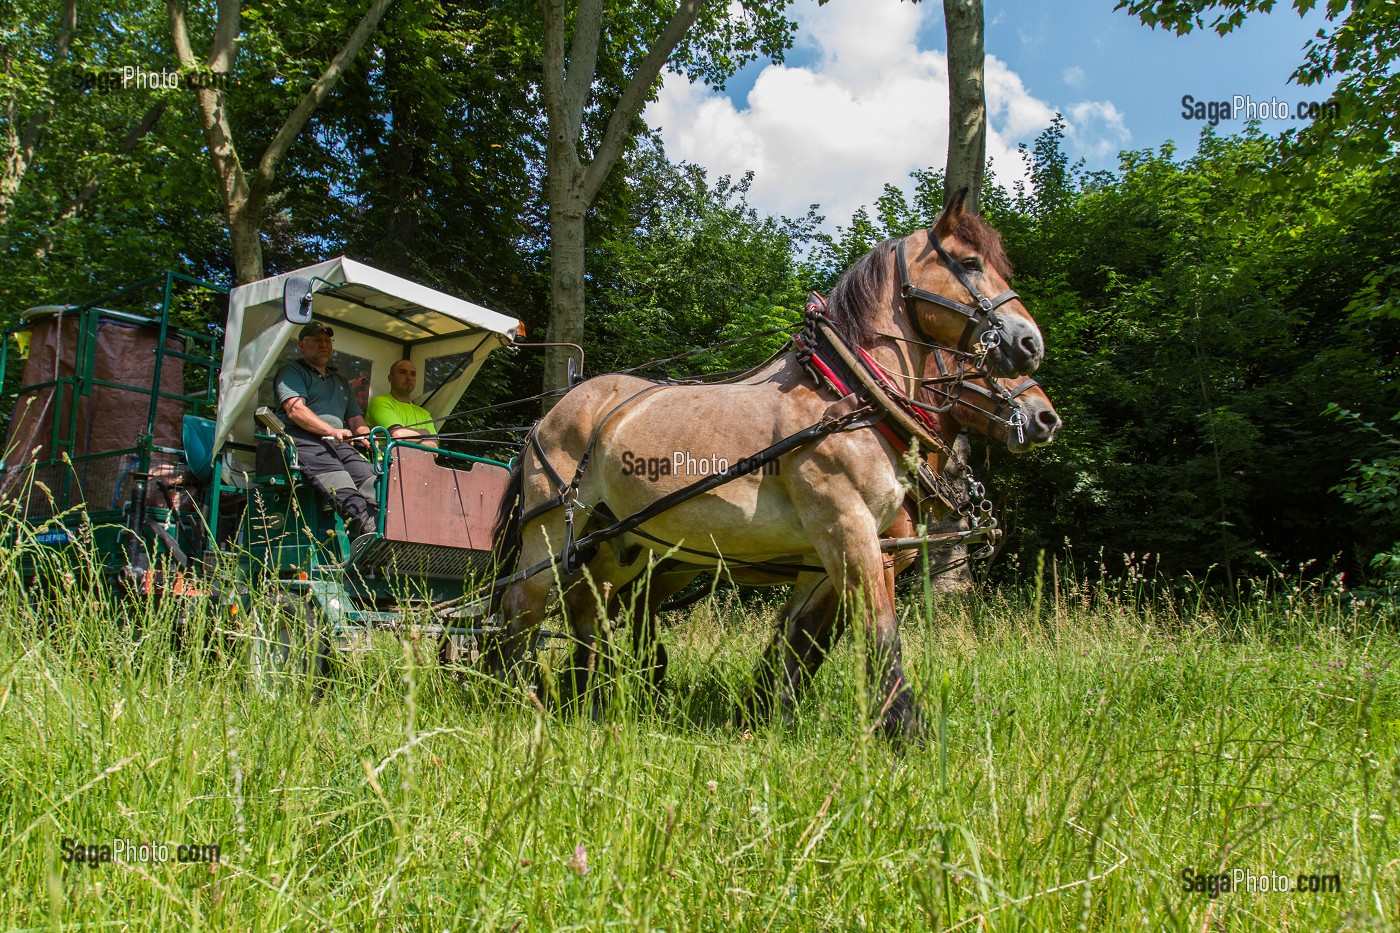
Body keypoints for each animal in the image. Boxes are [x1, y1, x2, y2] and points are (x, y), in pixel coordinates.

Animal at [491, 190, 1043, 742]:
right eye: (970, 263)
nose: (1031, 346)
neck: (849, 396)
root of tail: (549, 415)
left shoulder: (826, 555)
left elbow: (799, 637)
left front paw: (767, 713)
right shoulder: (850, 530)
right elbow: (878, 633)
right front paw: (908, 732)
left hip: (618, 543)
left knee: (587, 611)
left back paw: (587, 697)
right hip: (550, 528)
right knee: (523, 605)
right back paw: (515, 695)